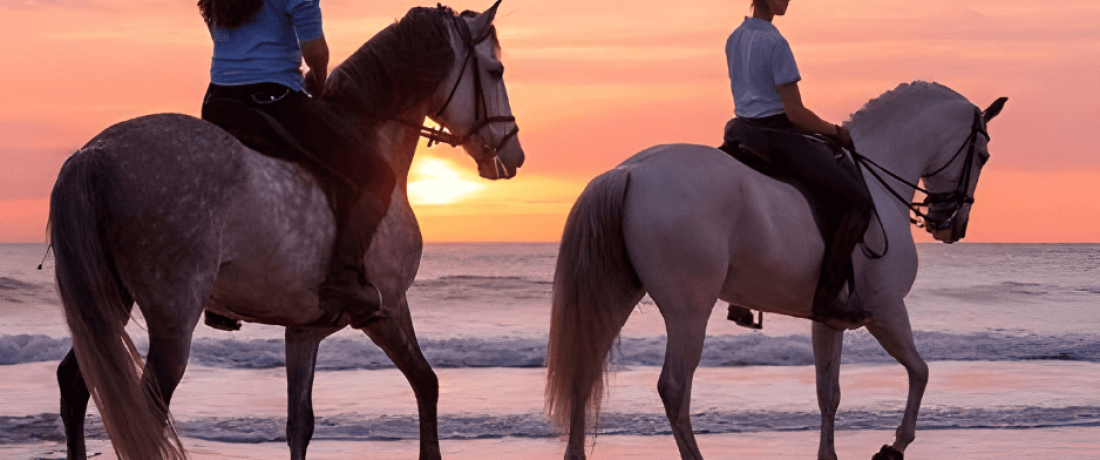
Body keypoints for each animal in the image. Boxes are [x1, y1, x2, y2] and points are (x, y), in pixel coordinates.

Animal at [53, 1, 525, 457]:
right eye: (497, 70)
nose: (514, 154)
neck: (369, 132)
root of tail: (96, 154)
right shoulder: (388, 308)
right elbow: (427, 383)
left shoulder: (304, 331)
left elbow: (300, 424)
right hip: (172, 318)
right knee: (147, 409)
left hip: (108, 299)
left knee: (75, 384)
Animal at [545, 82, 1007, 459]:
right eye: (983, 156)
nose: (950, 226)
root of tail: (629, 172)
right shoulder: (886, 309)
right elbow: (920, 372)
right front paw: (894, 446)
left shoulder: (829, 319)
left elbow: (829, 392)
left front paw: (829, 456)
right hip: (688, 310)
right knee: (674, 388)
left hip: (619, 294)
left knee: (585, 368)